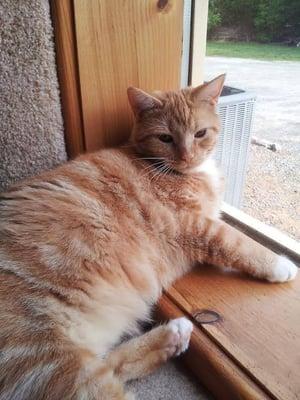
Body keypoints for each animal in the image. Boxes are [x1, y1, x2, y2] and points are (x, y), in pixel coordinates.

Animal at [0, 74, 298, 396]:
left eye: (200, 133)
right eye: (165, 138)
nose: (187, 156)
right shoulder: (196, 225)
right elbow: (239, 243)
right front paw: (280, 265)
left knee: (111, 364)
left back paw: (173, 336)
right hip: (53, 364)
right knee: (103, 380)